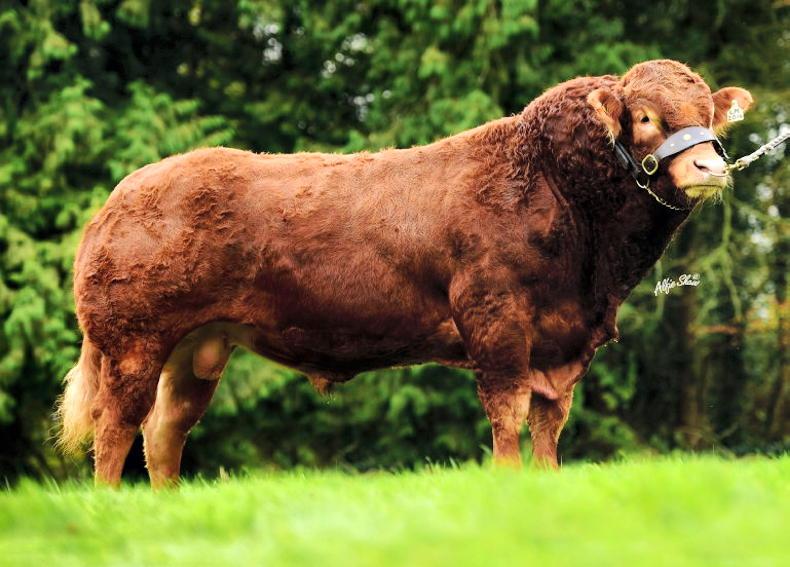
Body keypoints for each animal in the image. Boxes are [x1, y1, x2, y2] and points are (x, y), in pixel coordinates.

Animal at [58, 59, 752, 487]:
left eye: (708, 114)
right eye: (646, 117)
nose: (708, 167)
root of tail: (122, 196)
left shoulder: (563, 344)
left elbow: (549, 425)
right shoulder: (495, 320)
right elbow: (507, 414)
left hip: (198, 347)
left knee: (164, 433)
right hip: (132, 341)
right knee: (116, 428)